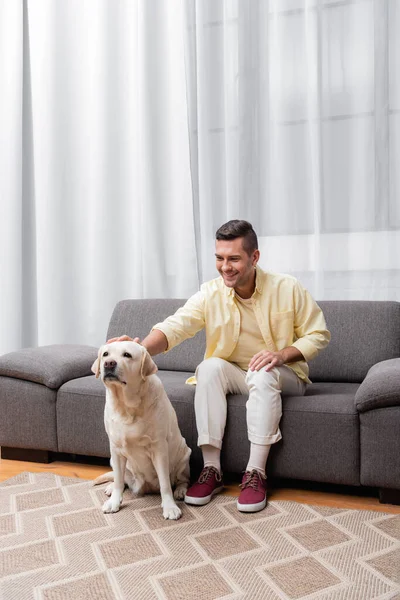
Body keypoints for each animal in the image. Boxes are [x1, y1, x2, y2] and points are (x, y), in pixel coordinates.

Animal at [91, 342, 191, 520]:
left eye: (127, 355)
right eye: (105, 354)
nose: (108, 363)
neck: (126, 406)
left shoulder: (159, 449)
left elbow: (165, 483)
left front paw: (170, 507)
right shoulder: (116, 449)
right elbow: (118, 480)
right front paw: (114, 502)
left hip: (184, 456)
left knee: (182, 480)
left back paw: (180, 491)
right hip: (113, 460)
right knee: (120, 478)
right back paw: (111, 487)